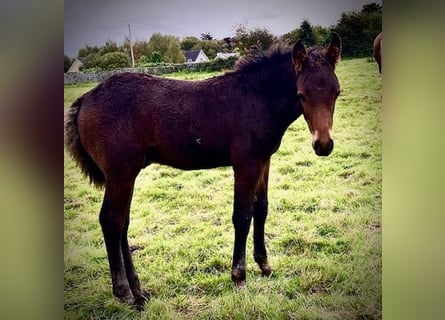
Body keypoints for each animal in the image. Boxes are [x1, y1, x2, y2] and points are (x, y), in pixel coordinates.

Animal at [64, 33, 342, 310]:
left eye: (337, 92)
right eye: (301, 94)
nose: (323, 145)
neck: (257, 99)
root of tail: (85, 99)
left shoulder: (264, 161)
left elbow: (261, 209)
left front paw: (265, 265)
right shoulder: (246, 164)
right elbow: (243, 216)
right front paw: (239, 277)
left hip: (127, 175)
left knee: (122, 223)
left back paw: (139, 292)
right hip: (120, 174)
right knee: (111, 220)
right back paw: (123, 293)